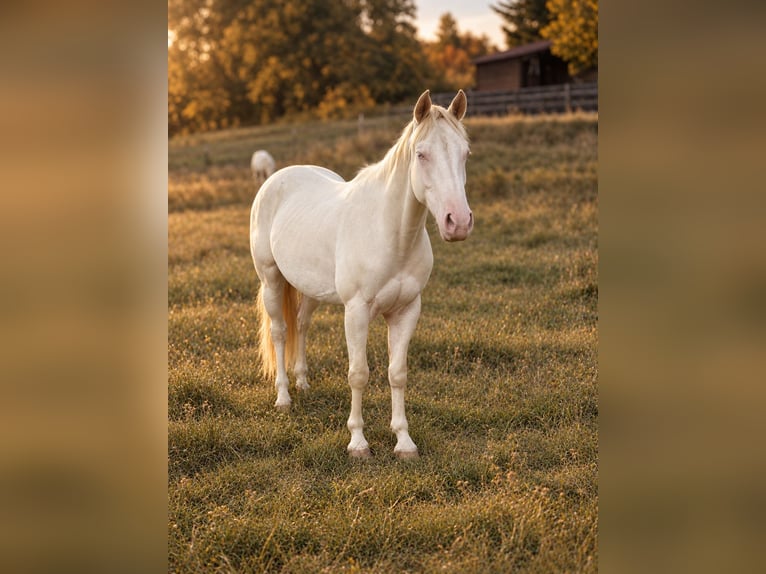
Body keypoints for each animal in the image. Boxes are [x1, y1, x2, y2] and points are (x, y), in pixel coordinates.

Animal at [249, 90, 472, 459]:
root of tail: (276, 177)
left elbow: (397, 374)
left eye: (465, 153)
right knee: (280, 332)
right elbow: (358, 374)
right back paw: (283, 397)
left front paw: (404, 442)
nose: (458, 222)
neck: (391, 234)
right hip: (271, 280)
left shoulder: (407, 310)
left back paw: (303, 382)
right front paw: (357, 443)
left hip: (310, 289)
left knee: (302, 325)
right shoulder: (356, 311)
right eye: (421, 154)